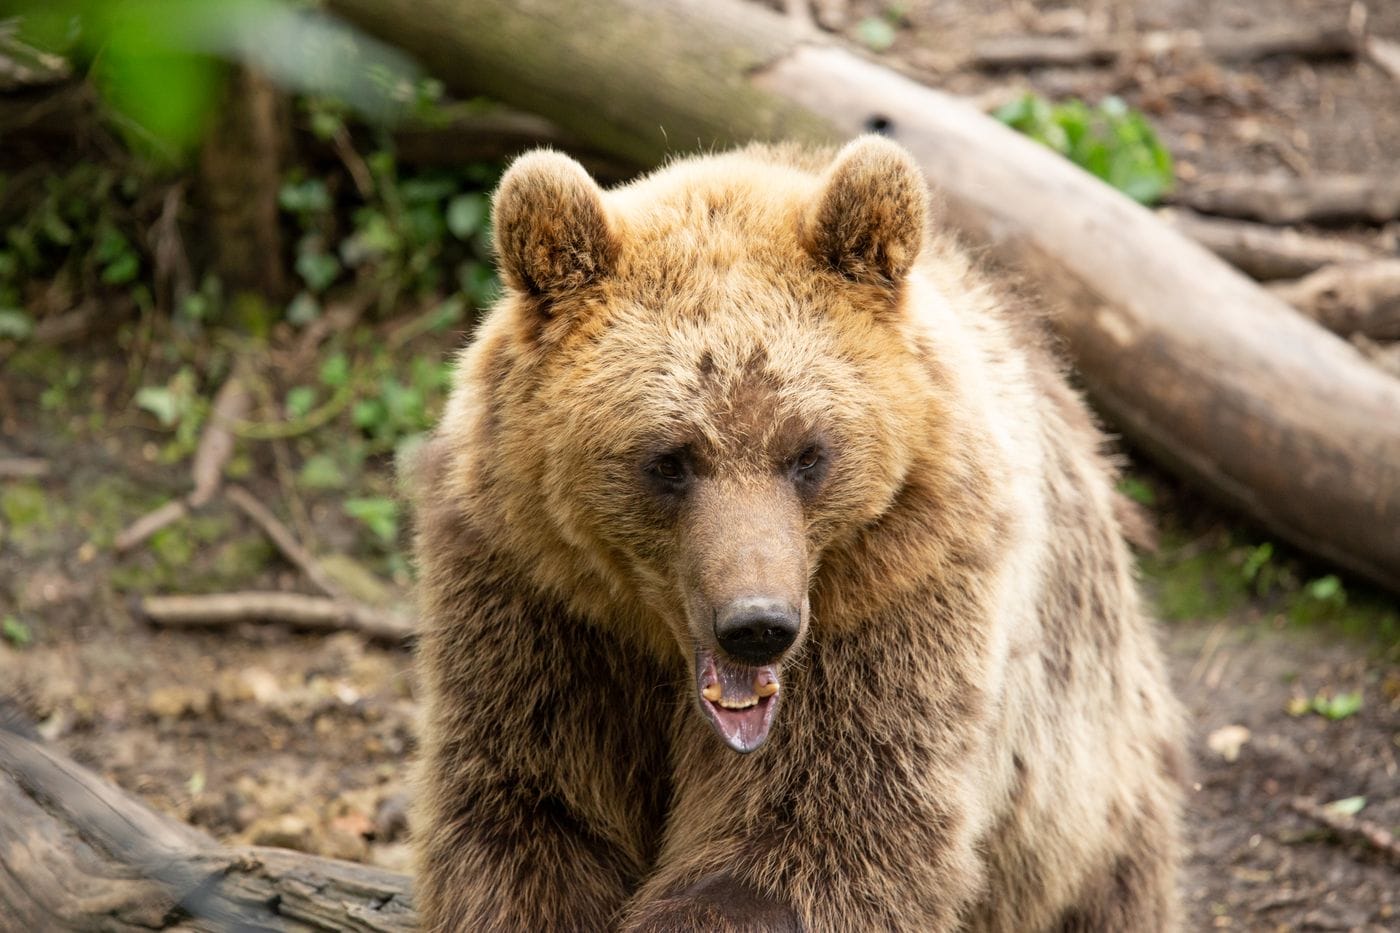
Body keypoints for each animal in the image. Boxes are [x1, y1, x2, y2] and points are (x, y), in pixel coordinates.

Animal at [407, 135, 1185, 932]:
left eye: (807, 452)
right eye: (670, 459)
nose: (757, 624)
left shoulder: (893, 605)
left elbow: (813, 837)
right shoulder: (534, 601)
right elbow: (529, 807)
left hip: (1085, 780)